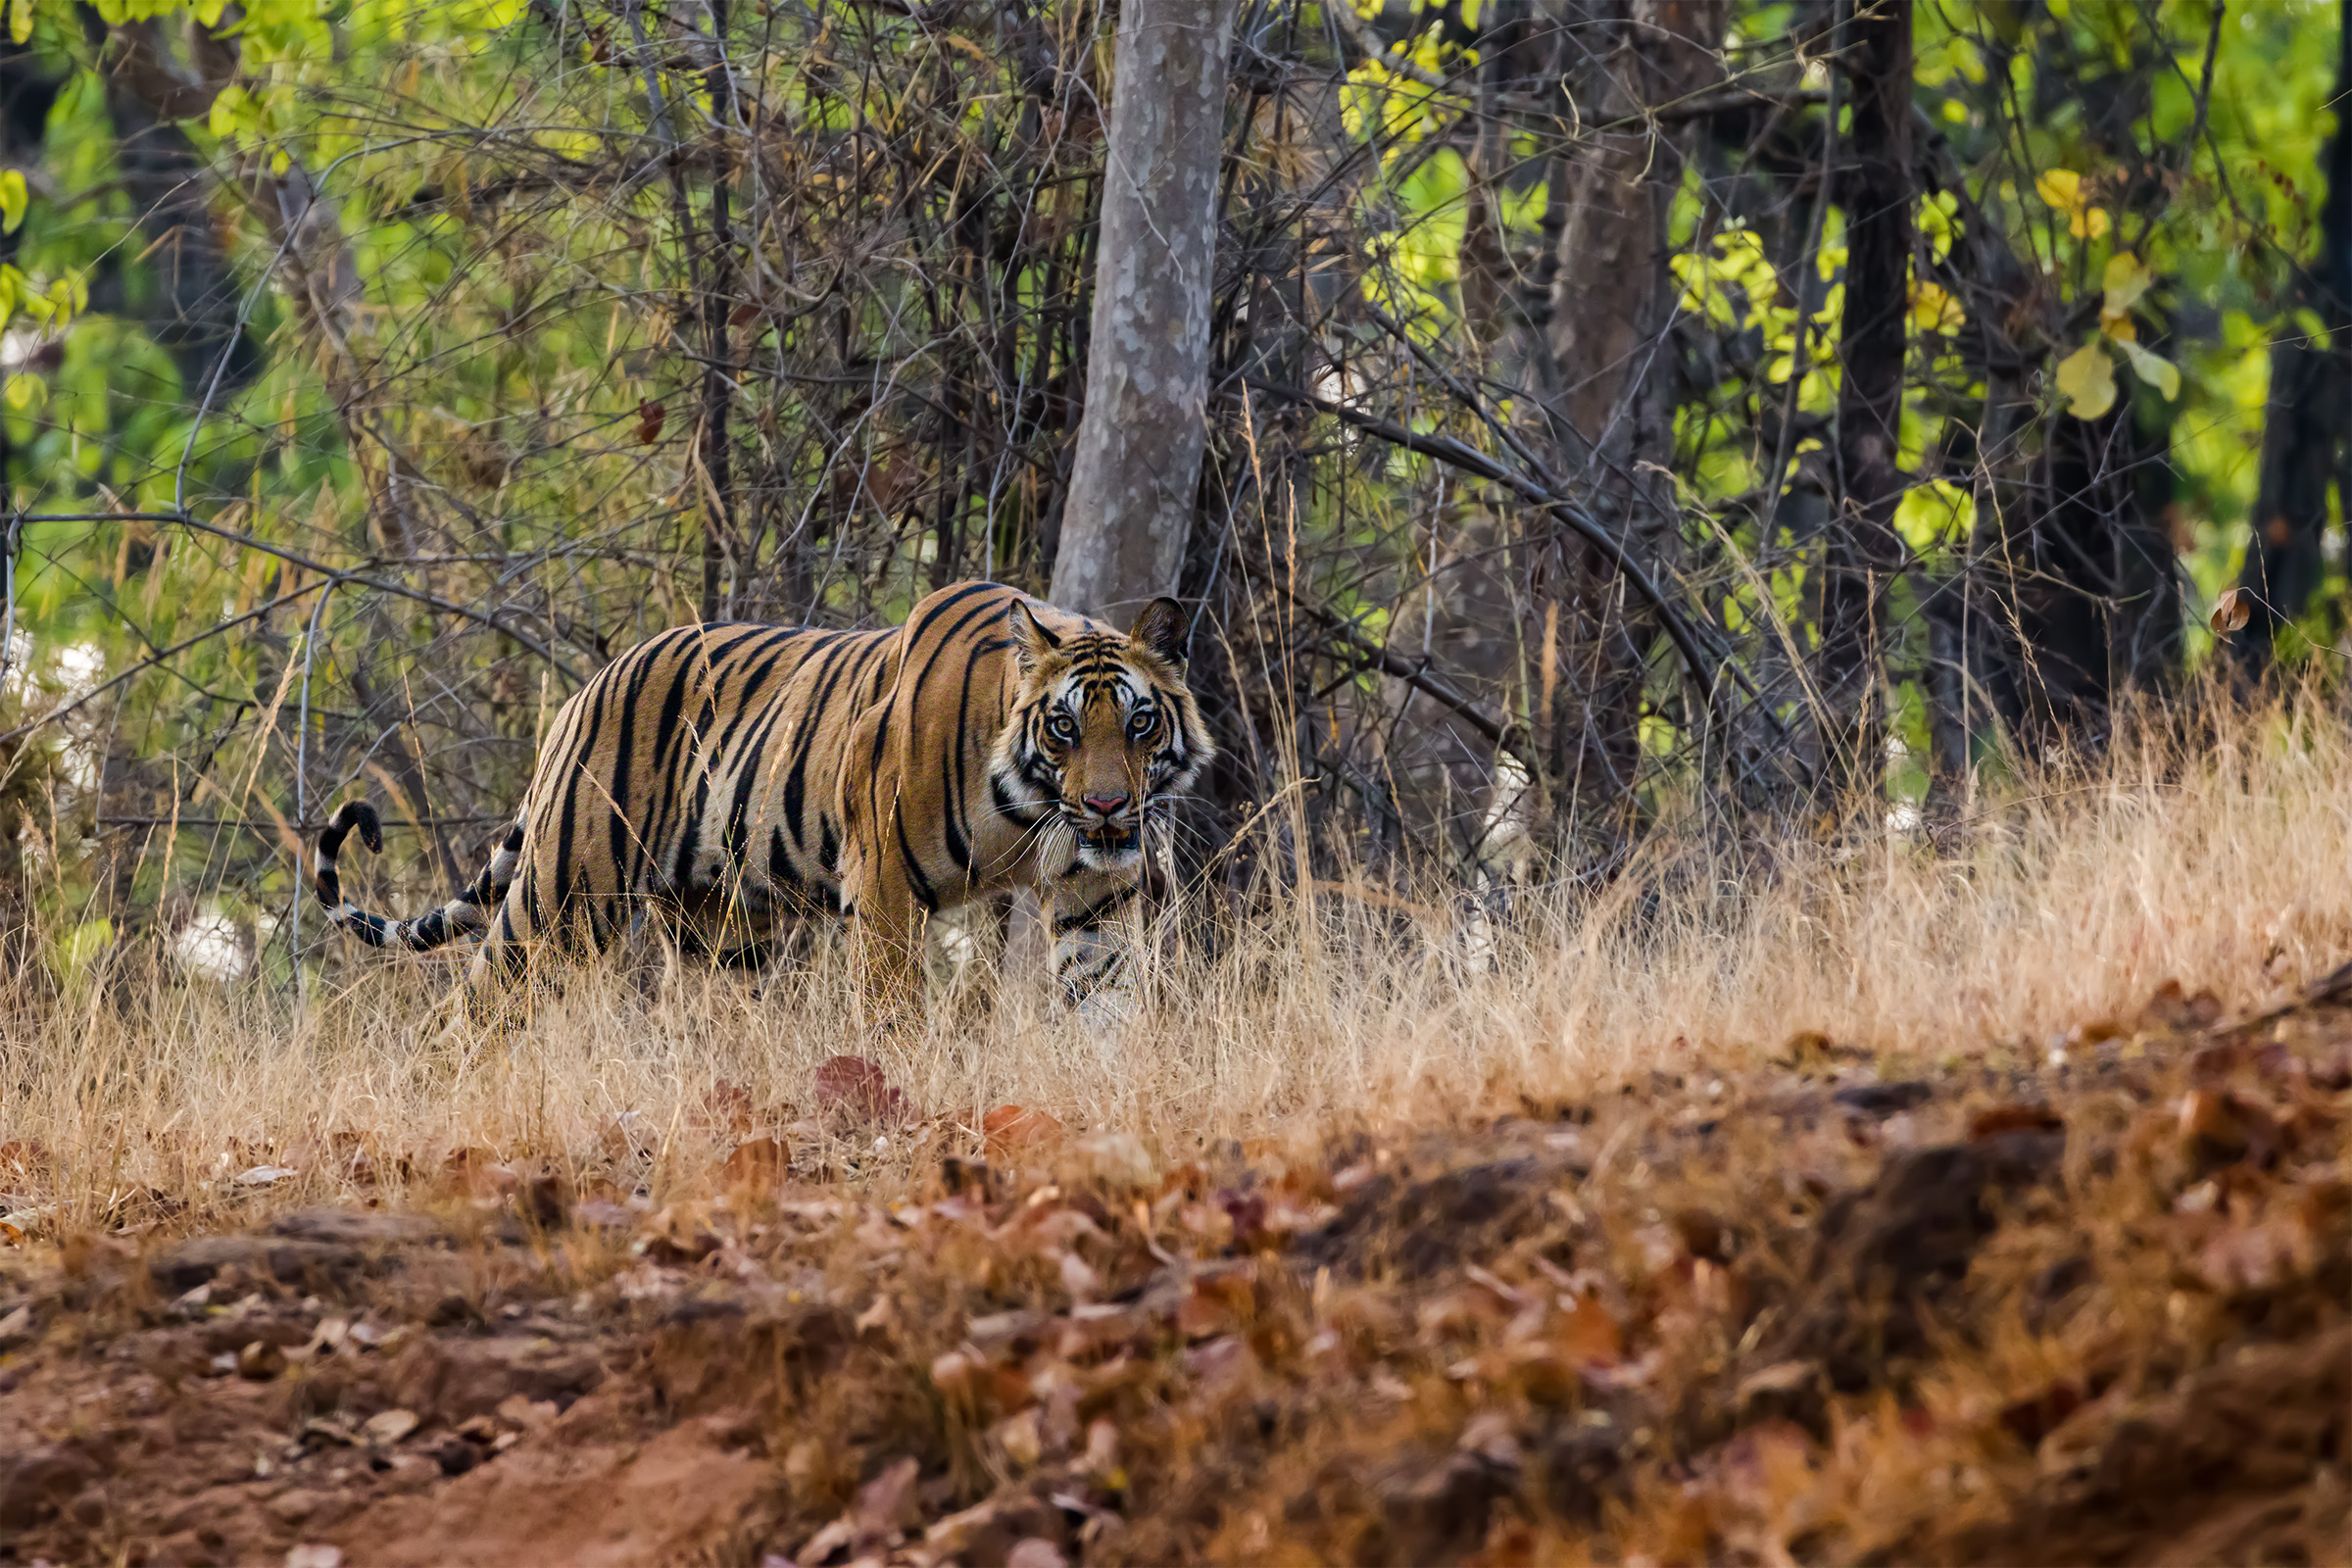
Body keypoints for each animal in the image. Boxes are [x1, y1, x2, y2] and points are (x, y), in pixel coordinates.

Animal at [310, 581, 1213, 1026]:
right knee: (473, 1007)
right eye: (1063, 726)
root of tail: (584, 691)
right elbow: (890, 1009)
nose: (1107, 807)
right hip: (566, 899)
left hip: (722, 934)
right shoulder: (884, 888)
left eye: (1139, 721)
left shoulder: (1097, 896)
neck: (1032, 812)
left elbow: (1104, 1002)